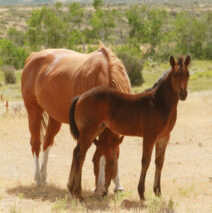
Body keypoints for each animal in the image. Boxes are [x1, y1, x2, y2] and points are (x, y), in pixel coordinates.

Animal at [21, 44, 131, 192]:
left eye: (112, 162)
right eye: (94, 161)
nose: (100, 190)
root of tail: (32, 57)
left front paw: (118, 185)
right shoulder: (86, 129)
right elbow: (80, 153)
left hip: (54, 117)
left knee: (47, 141)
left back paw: (44, 176)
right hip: (34, 111)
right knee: (36, 143)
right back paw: (38, 178)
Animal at [69, 55, 190, 200]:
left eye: (187, 75)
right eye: (175, 75)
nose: (183, 94)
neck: (158, 103)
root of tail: (81, 96)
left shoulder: (164, 137)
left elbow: (159, 162)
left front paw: (158, 191)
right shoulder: (149, 136)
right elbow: (146, 161)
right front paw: (142, 193)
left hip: (93, 131)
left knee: (77, 152)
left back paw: (72, 190)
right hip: (88, 132)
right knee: (80, 155)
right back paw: (78, 192)